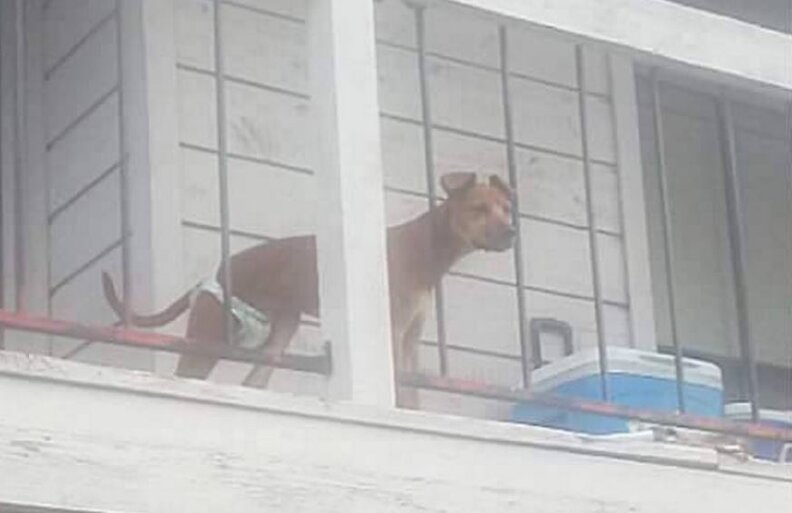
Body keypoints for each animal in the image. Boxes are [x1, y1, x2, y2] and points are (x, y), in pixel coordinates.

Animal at [102, 172, 516, 407]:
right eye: (479, 209)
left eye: (507, 208)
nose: (513, 232)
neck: (425, 250)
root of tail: (211, 277)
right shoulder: (393, 334)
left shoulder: (411, 340)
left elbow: (411, 395)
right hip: (207, 341)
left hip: (279, 334)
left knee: (254, 381)